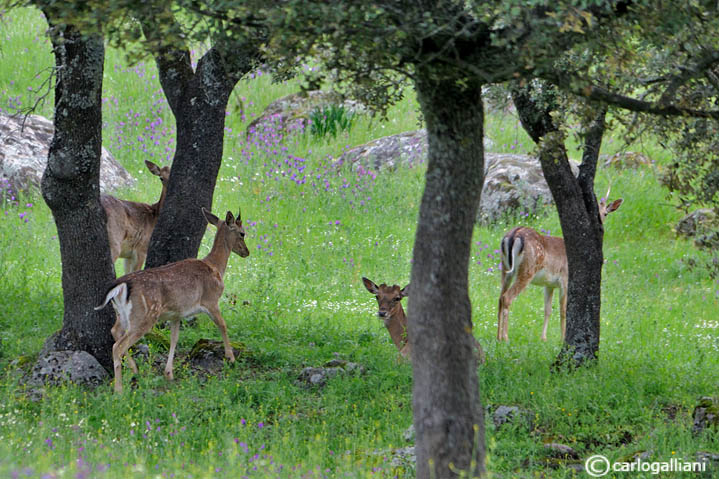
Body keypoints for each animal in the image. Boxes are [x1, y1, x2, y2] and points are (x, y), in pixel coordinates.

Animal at [96, 207, 250, 394]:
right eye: (242, 233)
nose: (247, 252)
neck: (216, 268)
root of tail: (121, 285)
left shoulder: (176, 314)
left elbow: (174, 339)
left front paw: (169, 373)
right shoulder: (211, 300)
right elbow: (223, 325)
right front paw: (231, 357)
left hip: (123, 314)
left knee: (115, 332)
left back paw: (134, 369)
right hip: (145, 314)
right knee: (118, 346)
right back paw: (119, 389)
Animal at [496, 189, 624, 344]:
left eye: (605, 213)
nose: (599, 225)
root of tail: (513, 235)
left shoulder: (549, 284)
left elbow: (547, 309)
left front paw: (543, 338)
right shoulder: (565, 278)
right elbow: (563, 310)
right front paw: (563, 339)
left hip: (505, 268)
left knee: (499, 297)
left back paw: (498, 337)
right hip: (527, 269)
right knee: (507, 297)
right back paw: (505, 337)